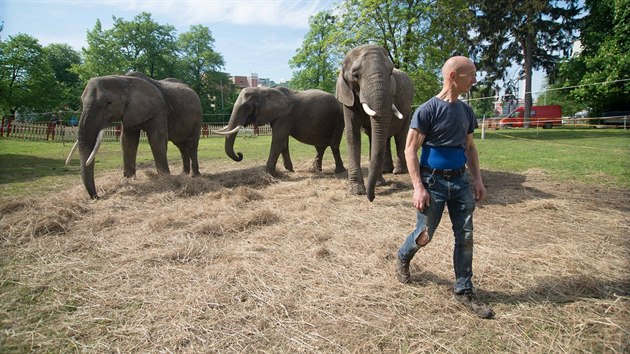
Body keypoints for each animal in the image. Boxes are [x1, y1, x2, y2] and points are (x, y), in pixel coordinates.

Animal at [66, 72, 202, 199]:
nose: (97, 196)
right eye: (81, 102)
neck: (124, 80)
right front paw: (129, 179)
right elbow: (128, 141)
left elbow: (156, 139)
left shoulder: (159, 109)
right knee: (181, 145)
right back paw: (183, 174)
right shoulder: (129, 113)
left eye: (109, 102)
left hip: (197, 118)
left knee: (192, 144)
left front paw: (164, 179)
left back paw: (195, 175)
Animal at [216, 85, 346, 174]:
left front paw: (269, 172)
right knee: (320, 148)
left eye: (246, 107)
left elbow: (278, 140)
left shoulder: (285, 116)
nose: (240, 154)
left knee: (334, 145)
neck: (264, 91)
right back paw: (316, 170)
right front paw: (289, 170)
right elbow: (283, 142)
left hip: (339, 119)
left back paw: (339, 171)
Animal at [338, 43, 418, 202]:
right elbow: (353, 136)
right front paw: (357, 191)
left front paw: (379, 184)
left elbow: (373, 137)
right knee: (385, 138)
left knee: (400, 136)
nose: (372, 198)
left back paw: (398, 171)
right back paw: (387, 170)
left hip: (408, 109)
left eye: (390, 73)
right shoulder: (348, 98)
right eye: (355, 75)